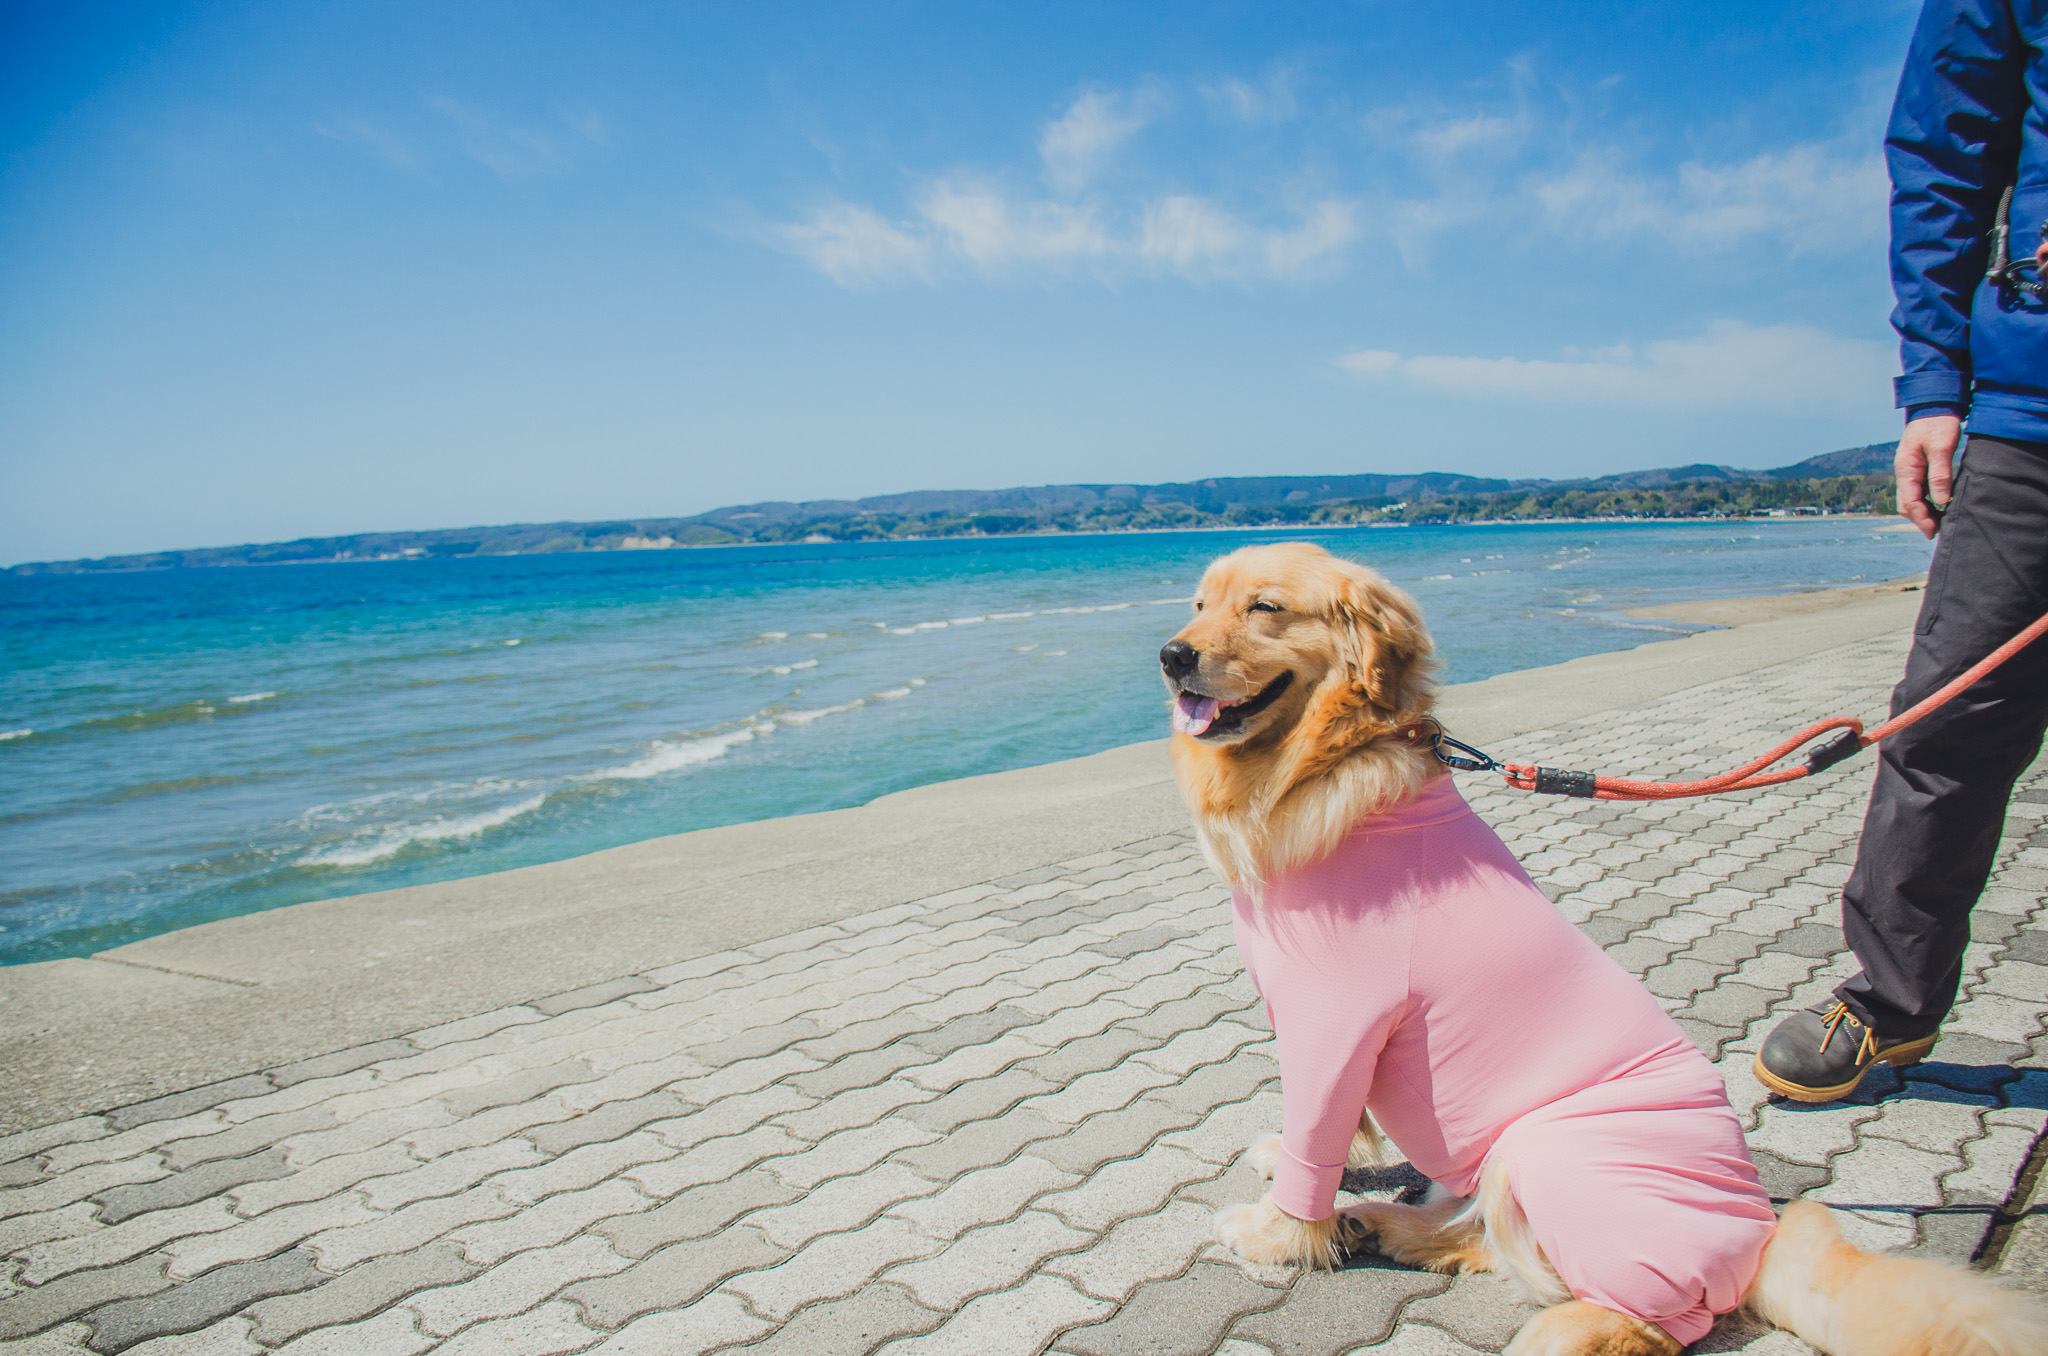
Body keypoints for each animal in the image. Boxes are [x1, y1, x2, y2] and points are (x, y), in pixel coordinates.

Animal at [1163, 544, 2039, 1356]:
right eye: (1201, 604)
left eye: (1265, 608)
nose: (1171, 656)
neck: (1331, 759)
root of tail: (1757, 1233)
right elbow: (1327, 1129)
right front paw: (1297, 1170)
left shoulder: (1339, 1023)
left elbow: (1318, 1138)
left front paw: (1279, 1234)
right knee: (1483, 1240)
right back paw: (1383, 1225)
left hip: (1541, 1145)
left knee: (1647, 1319)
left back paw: (1533, 1321)